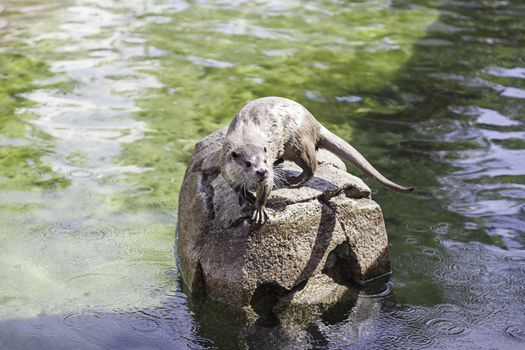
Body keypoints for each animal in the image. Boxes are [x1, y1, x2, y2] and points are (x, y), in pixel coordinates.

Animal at [218, 97, 414, 226]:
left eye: (265, 160)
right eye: (248, 163)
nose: (262, 171)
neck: (245, 138)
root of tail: (314, 122)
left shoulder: (269, 175)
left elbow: (267, 187)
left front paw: (258, 208)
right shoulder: (224, 168)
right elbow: (234, 186)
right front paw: (244, 195)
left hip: (298, 144)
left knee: (312, 165)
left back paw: (294, 181)